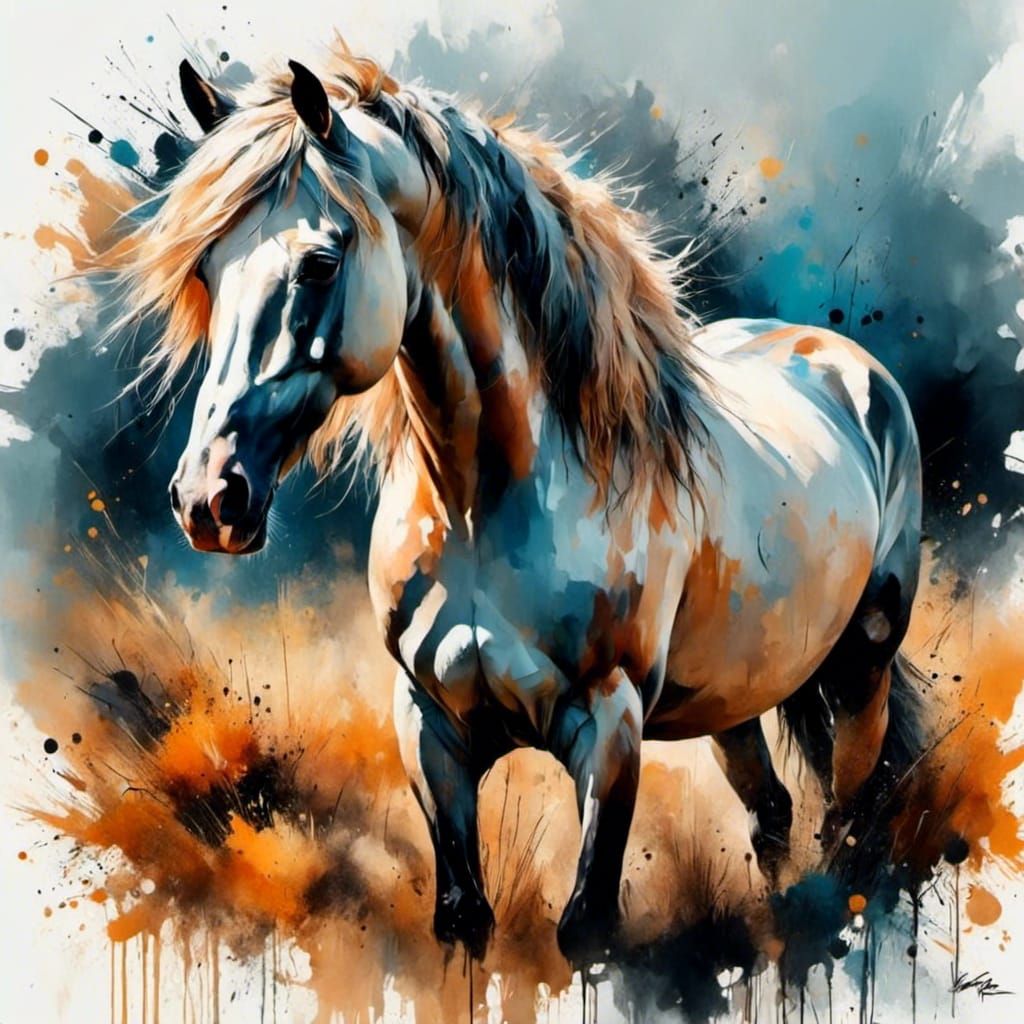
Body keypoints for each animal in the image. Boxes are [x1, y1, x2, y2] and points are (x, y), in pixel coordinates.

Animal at [113, 47, 924, 966]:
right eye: (207, 269)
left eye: (320, 262)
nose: (209, 498)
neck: (486, 509)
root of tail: (842, 361)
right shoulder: (430, 730)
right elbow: (463, 915)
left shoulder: (609, 729)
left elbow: (588, 927)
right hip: (736, 692)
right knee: (774, 816)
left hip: (862, 668)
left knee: (850, 823)